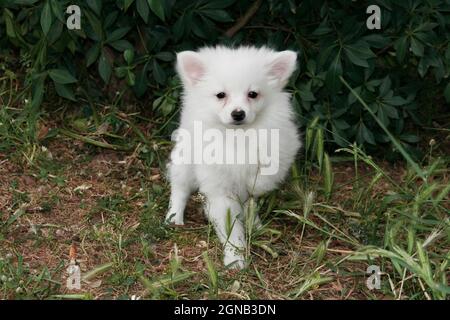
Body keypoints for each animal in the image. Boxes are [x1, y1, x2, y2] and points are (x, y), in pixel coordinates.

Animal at [166, 46, 302, 268]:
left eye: (253, 94)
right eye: (221, 95)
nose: (238, 113)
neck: (238, 135)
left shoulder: (274, 157)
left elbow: (257, 187)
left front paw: (251, 218)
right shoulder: (220, 189)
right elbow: (230, 227)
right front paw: (235, 258)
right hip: (185, 160)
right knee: (180, 187)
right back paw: (174, 216)